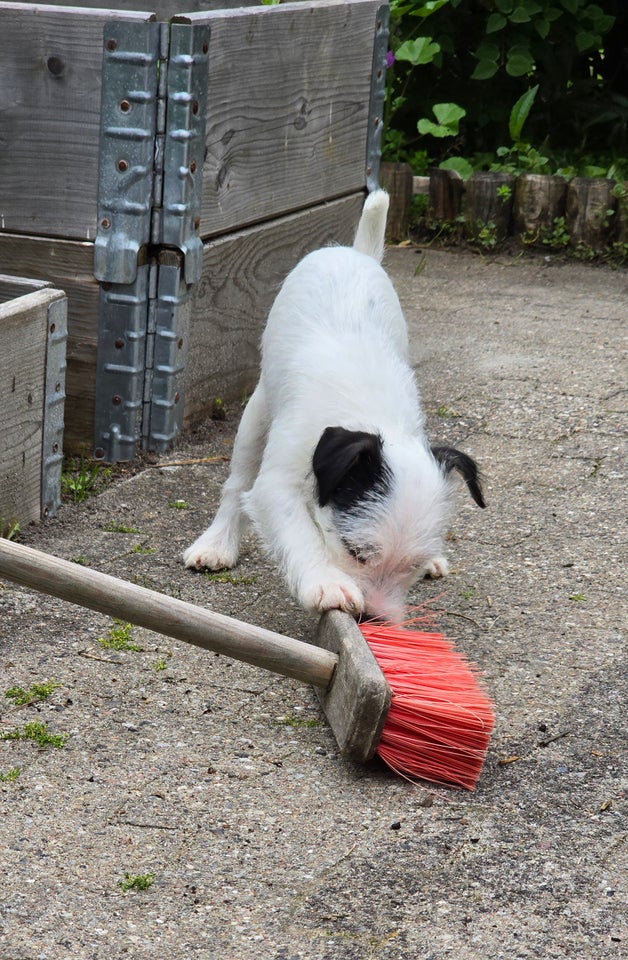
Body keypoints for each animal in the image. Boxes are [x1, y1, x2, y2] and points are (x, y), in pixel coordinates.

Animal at [183, 189, 486, 624]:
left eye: (411, 565)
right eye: (355, 552)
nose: (374, 619)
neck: (368, 411)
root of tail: (353, 252)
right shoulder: (279, 481)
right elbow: (298, 530)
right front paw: (325, 583)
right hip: (256, 414)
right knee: (237, 483)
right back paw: (216, 543)